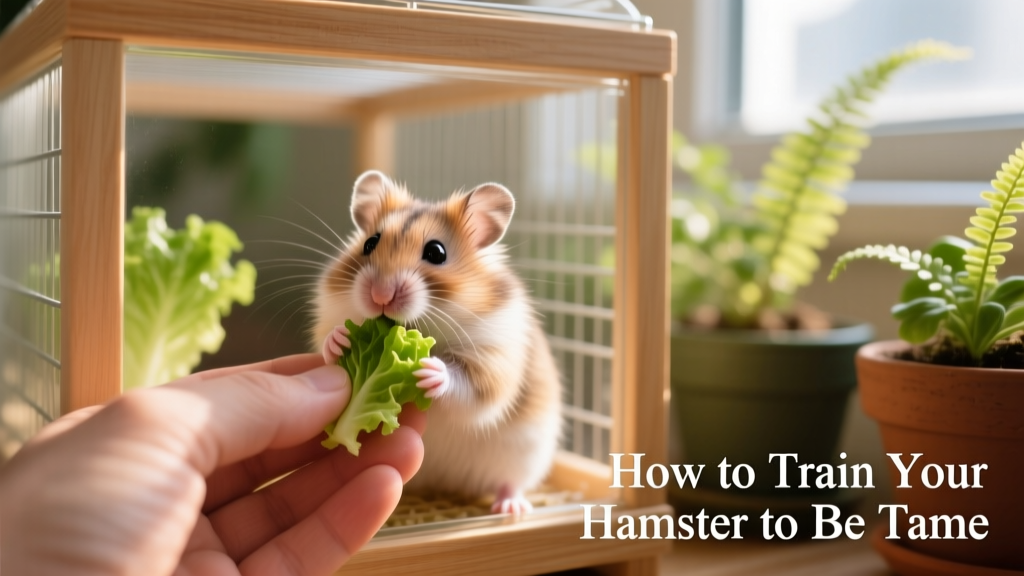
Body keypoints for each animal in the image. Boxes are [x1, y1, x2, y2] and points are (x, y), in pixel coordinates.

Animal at [311, 170, 563, 516]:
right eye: (369, 243)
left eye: (436, 253)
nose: (380, 296)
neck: (430, 326)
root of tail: (449, 485)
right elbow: (327, 340)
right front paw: (339, 340)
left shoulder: (495, 359)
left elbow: (472, 387)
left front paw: (431, 371)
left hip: (526, 454)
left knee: (511, 482)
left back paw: (510, 508)